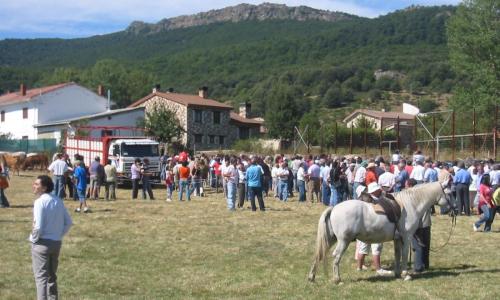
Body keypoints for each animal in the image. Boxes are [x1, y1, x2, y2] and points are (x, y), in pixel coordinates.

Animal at [306, 180, 452, 284]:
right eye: (450, 193)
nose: (454, 209)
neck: (411, 204)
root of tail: (334, 208)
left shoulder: (397, 239)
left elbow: (397, 255)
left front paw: (397, 273)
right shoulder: (407, 237)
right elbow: (404, 255)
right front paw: (405, 275)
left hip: (331, 239)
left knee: (320, 254)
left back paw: (311, 277)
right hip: (343, 241)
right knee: (336, 257)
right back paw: (337, 279)